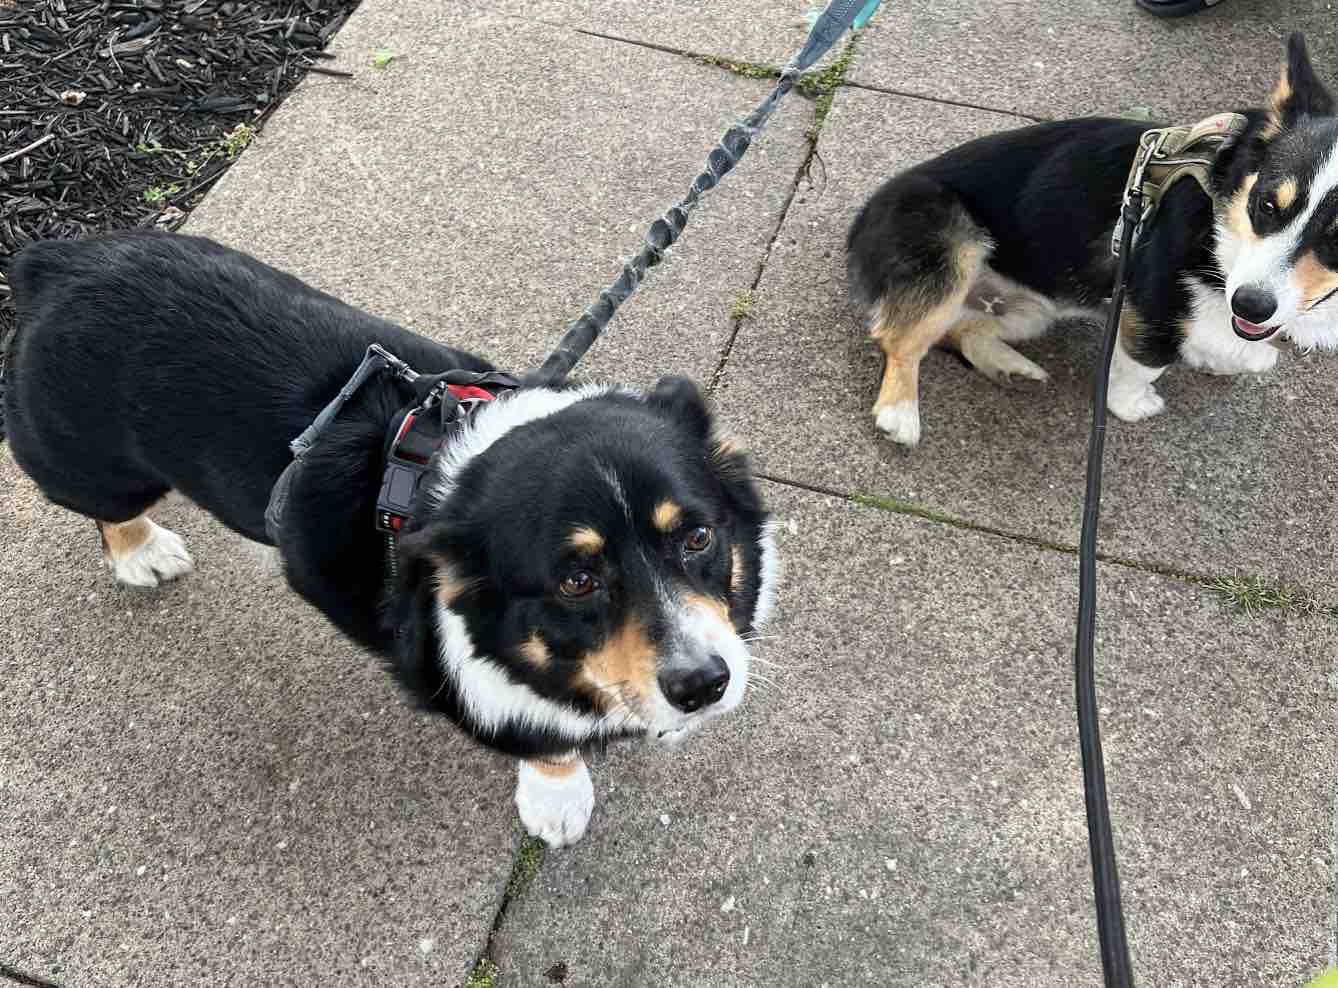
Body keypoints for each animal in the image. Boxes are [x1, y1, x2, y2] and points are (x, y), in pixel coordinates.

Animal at [0, 228, 781, 840]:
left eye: (697, 538)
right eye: (576, 580)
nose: (704, 686)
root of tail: (54, 260)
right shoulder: (487, 693)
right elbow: (547, 747)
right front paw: (557, 805)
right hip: (92, 464)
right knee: (99, 502)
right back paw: (143, 552)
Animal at [845, 32, 1338, 444]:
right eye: (1267, 205)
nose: (1250, 305)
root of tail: (863, 215)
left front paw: (1233, 356)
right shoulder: (1150, 309)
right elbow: (1144, 366)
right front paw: (1131, 405)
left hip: (1030, 310)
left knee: (958, 330)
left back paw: (1010, 367)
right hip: (952, 252)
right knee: (898, 337)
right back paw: (900, 414)